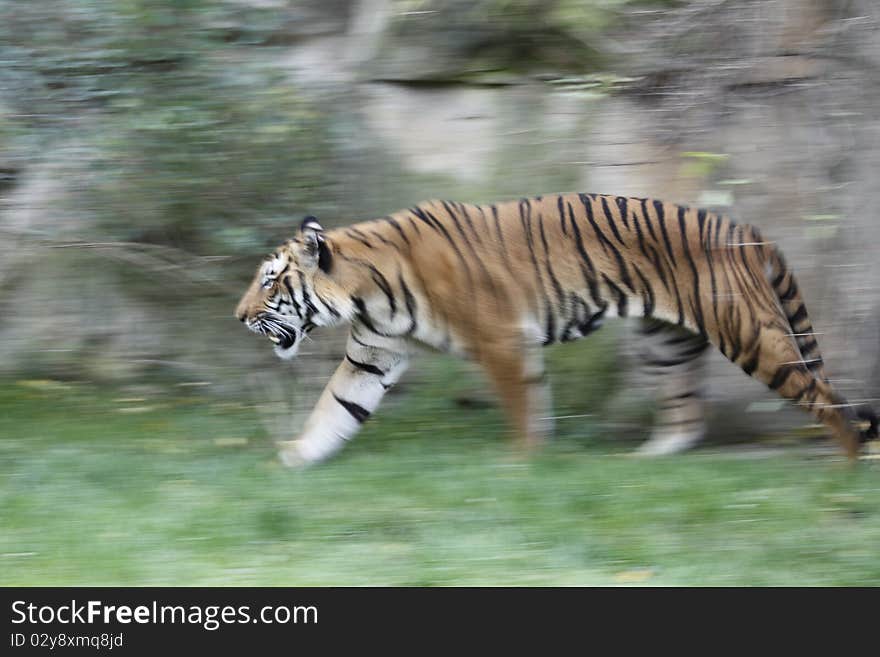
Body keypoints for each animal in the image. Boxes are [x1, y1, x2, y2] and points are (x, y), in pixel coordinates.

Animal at [235, 192, 880, 464]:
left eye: (269, 281)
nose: (237, 317)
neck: (365, 295)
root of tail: (742, 228)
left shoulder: (500, 341)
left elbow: (523, 409)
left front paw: (523, 467)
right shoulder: (373, 355)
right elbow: (335, 410)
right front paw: (292, 459)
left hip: (752, 338)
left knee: (828, 399)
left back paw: (845, 470)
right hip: (664, 342)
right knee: (686, 411)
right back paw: (648, 459)